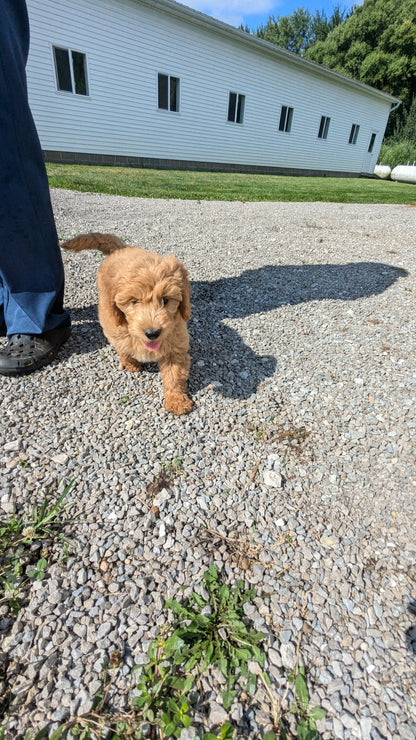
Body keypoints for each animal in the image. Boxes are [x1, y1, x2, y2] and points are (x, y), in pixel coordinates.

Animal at [62, 233, 193, 416]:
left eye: (166, 300)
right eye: (134, 301)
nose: (152, 333)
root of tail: (122, 249)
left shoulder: (176, 345)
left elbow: (174, 374)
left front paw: (177, 401)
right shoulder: (113, 328)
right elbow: (123, 349)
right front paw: (131, 365)